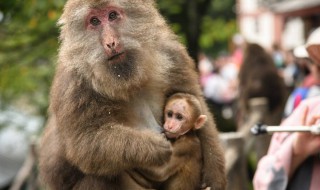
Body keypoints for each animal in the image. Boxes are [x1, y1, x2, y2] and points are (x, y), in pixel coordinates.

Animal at [38, 0, 226, 189]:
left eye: (112, 15)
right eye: (94, 21)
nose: (110, 43)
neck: (128, 79)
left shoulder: (171, 53)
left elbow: (197, 106)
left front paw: (214, 179)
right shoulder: (74, 84)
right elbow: (84, 145)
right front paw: (151, 147)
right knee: (99, 176)